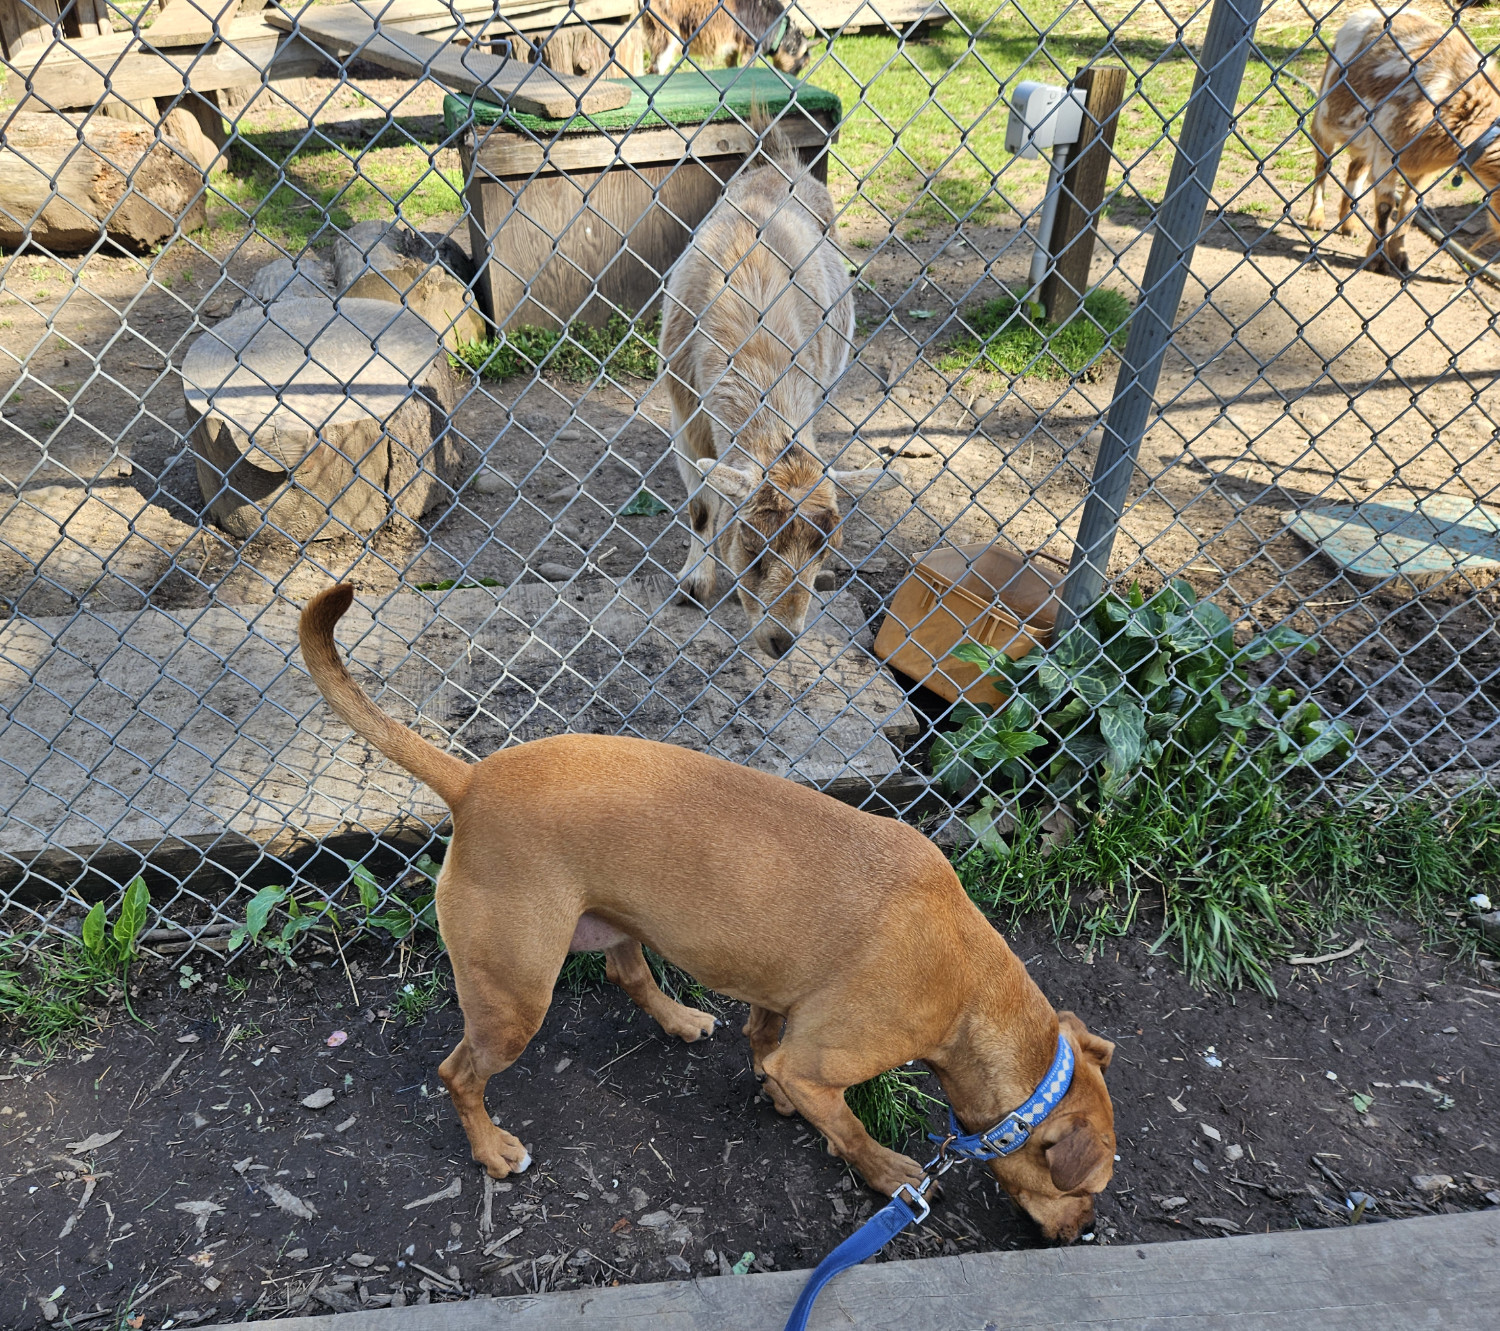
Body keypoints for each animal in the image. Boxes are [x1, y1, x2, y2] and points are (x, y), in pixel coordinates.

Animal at [298, 588, 1116, 1242]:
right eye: (1089, 1187)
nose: (1087, 1231)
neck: (970, 985)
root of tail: (471, 781)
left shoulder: (780, 1000)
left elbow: (764, 1041)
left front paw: (772, 1091)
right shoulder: (822, 1063)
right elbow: (849, 1125)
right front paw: (887, 1171)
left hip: (613, 920)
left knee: (629, 975)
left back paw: (680, 1017)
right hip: (513, 1000)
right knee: (457, 1072)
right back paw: (493, 1149)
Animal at [660, 150, 876, 660]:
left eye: (825, 550)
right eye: (753, 546)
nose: (783, 641)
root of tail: (784, 163)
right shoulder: (687, 416)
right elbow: (701, 506)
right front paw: (693, 582)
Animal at [1302, 7, 1500, 279]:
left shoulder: (1424, 168)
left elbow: (1408, 209)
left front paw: (1400, 257)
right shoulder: (1388, 152)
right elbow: (1385, 207)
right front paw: (1376, 260)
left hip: (1365, 139)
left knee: (1355, 169)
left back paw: (1349, 223)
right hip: (1324, 119)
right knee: (1323, 166)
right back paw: (1316, 217)